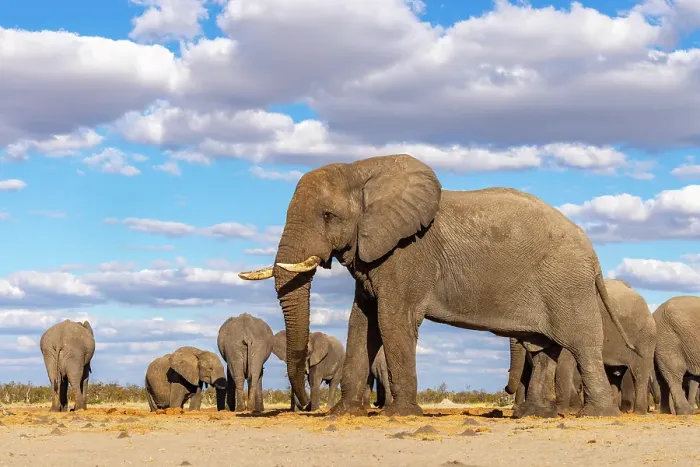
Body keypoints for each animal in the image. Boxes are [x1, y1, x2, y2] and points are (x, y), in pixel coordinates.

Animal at [238, 153, 637, 417]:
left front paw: (400, 415)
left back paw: (598, 416)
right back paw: (534, 417)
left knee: (581, 344)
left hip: (566, 284)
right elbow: (361, 323)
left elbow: (392, 319)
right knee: (543, 350)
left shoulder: (406, 254)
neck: (364, 171)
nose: (307, 407)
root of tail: (593, 255)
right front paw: (345, 414)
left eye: (328, 215)